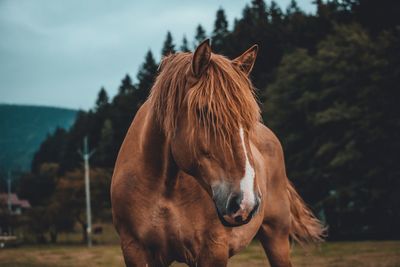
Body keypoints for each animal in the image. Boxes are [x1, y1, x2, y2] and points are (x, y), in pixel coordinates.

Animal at [110, 38, 324, 266]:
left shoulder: (213, 249)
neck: (165, 188)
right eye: (203, 111)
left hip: (277, 237)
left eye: (249, 118)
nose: (245, 202)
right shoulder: (134, 249)